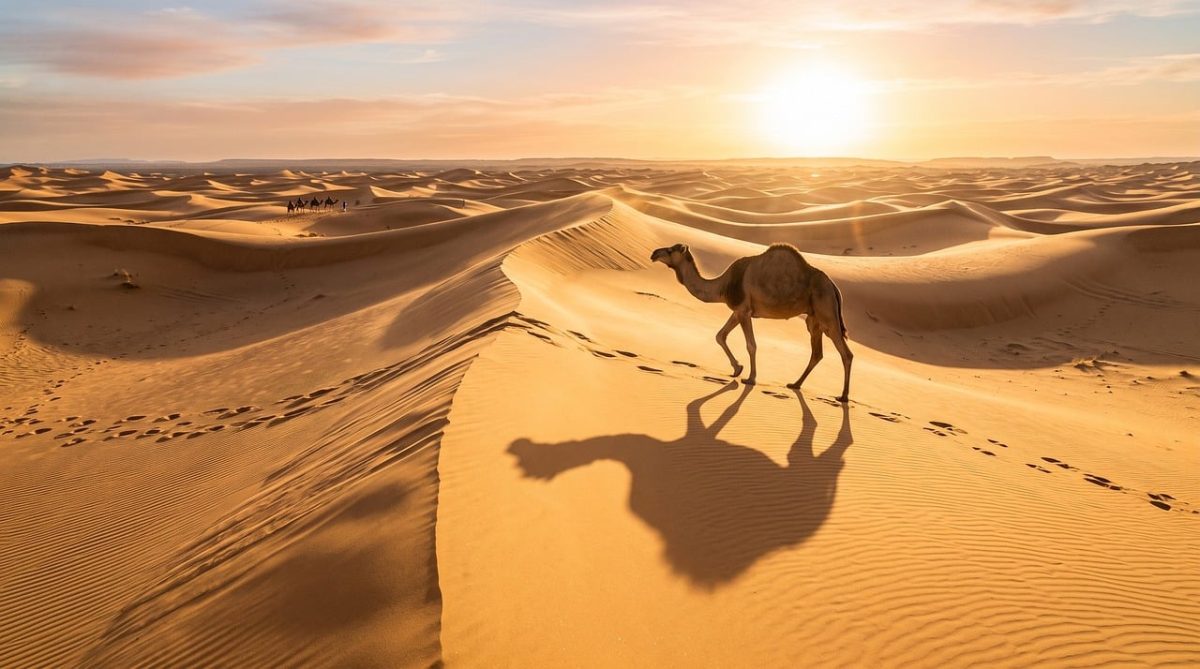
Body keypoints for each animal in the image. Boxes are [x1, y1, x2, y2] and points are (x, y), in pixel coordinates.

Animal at [651, 242, 853, 401]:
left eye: (670, 250)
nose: (654, 253)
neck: (723, 285)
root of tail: (833, 286)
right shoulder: (737, 311)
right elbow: (720, 335)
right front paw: (737, 369)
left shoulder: (744, 311)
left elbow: (751, 345)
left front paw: (750, 378)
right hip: (814, 319)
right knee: (817, 353)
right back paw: (795, 384)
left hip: (827, 313)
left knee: (846, 353)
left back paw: (843, 396)